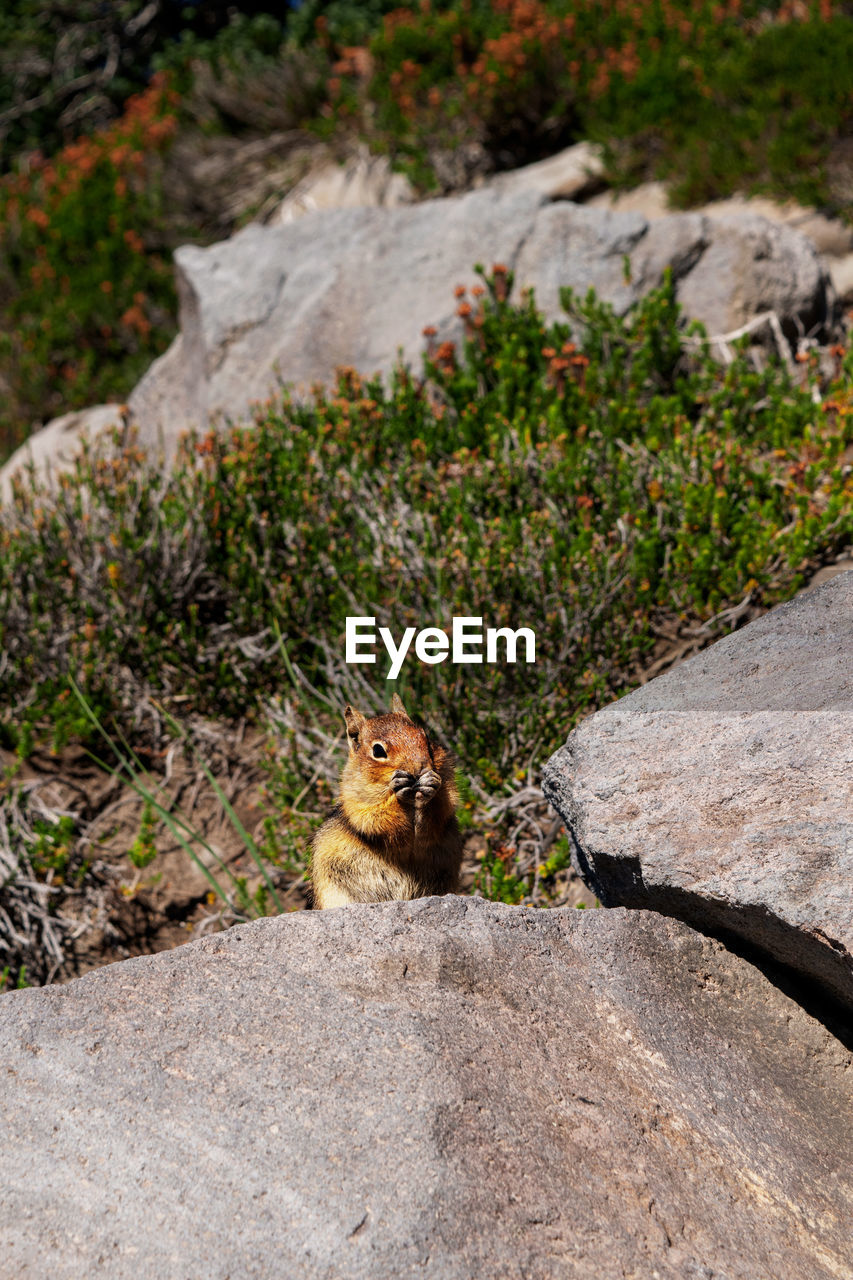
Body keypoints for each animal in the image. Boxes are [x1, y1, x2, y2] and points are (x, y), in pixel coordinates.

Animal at [311, 701, 461, 911]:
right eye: (378, 751)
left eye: (427, 739)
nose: (420, 767)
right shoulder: (357, 805)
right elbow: (379, 820)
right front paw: (400, 793)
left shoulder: (447, 798)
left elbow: (436, 819)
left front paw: (430, 786)